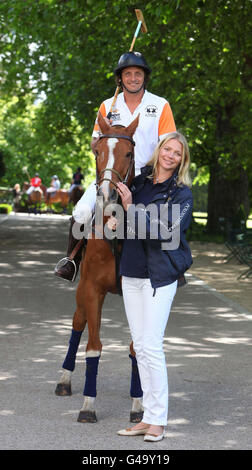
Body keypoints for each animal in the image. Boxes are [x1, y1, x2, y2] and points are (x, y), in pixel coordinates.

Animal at [54, 113, 144, 422]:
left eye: (128, 153)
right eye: (97, 151)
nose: (107, 193)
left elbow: (137, 348)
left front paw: (138, 405)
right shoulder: (92, 289)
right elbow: (93, 347)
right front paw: (88, 405)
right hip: (83, 288)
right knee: (78, 323)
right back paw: (64, 380)